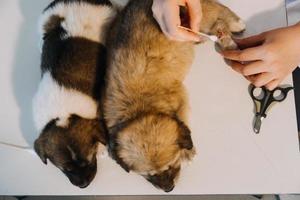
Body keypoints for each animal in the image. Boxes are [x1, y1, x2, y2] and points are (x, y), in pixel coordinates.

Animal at [104, 0, 245, 192]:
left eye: (171, 165)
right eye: (149, 175)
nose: (168, 189)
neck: (140, 107)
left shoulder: (181, 99)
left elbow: (183, 121)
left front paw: (188, 151)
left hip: (199, 15)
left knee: (218, 13)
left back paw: (234, 28)